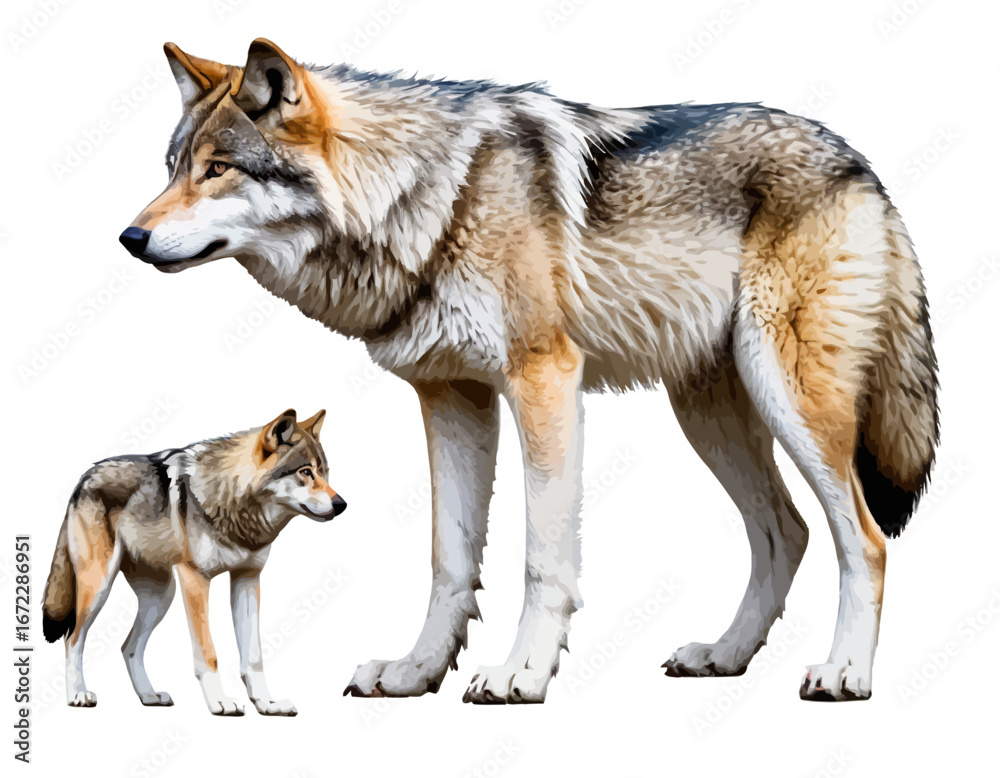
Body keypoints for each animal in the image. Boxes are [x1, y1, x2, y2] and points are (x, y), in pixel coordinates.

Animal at [42, 409, 346, 715]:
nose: (342, 504)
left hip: (161, 596)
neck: (234, 503)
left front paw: (267, 703)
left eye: (324, 472)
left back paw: (149, 695)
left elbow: (253, 656)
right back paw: (78, 694)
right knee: (73, 638)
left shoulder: (247, 578)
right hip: (99, 587)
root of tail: (84, 477)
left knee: (128, 647)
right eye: (305, 472)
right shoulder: (195, 578)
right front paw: (220, 701)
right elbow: (208, 652)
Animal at [120, 39, 938, 703]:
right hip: (710, 416)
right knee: (786, 532)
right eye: (171, 168)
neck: (427, 201)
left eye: (218, 169)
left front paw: (521, 674)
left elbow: (543, 559)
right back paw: (724, 656)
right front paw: (417, 673)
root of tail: (857, 161)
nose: (130, 237)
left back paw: (845, 673)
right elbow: (449, 560)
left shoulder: (543, 381)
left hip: (792, 401)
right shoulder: (451, 396)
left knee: (864, 538)